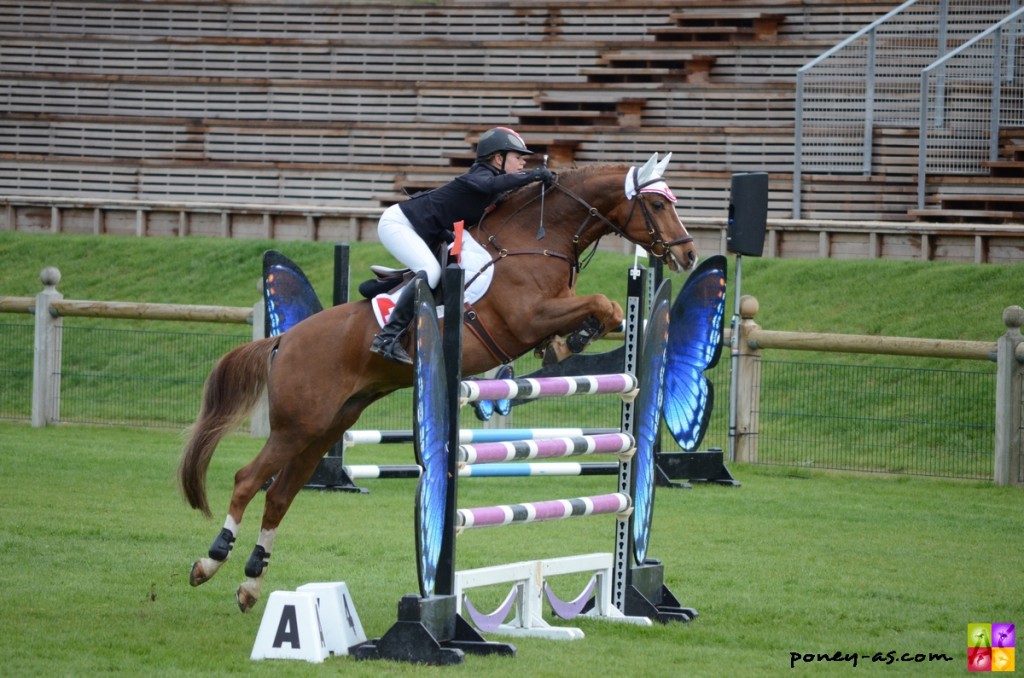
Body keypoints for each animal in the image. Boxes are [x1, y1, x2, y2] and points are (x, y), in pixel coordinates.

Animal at [180, 156, 700, 614]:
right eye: (657, 204)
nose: (688, 253)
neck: (537, 239)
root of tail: (284, 339)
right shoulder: (528, 316)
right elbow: (601, 303)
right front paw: (568, 341)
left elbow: (606, 310)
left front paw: (568, 342)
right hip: (298, 425)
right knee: (248, 480)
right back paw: (210, 562)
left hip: (326, 427)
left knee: (280, 494)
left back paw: (250, 583)